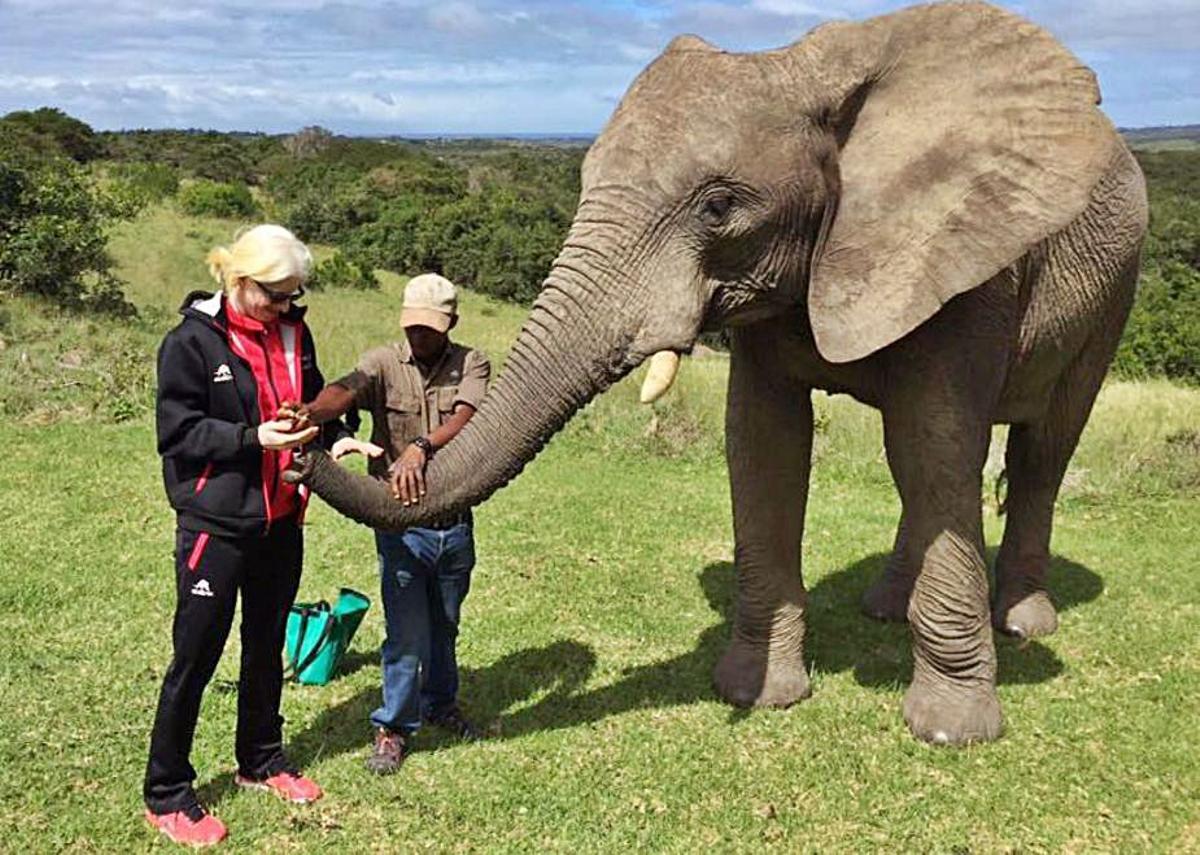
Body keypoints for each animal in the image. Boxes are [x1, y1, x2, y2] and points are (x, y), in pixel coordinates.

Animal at [285, 1, 1147, 749]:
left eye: (720, 205)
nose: (301, 435)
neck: (804, 70)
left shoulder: (968, 257)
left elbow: (935, 444)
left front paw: (951, 731)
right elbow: (765, 443)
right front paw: (758, 691)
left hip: (1116, 291)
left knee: (1040, 450)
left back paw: (1024, 621)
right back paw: (884, 609)